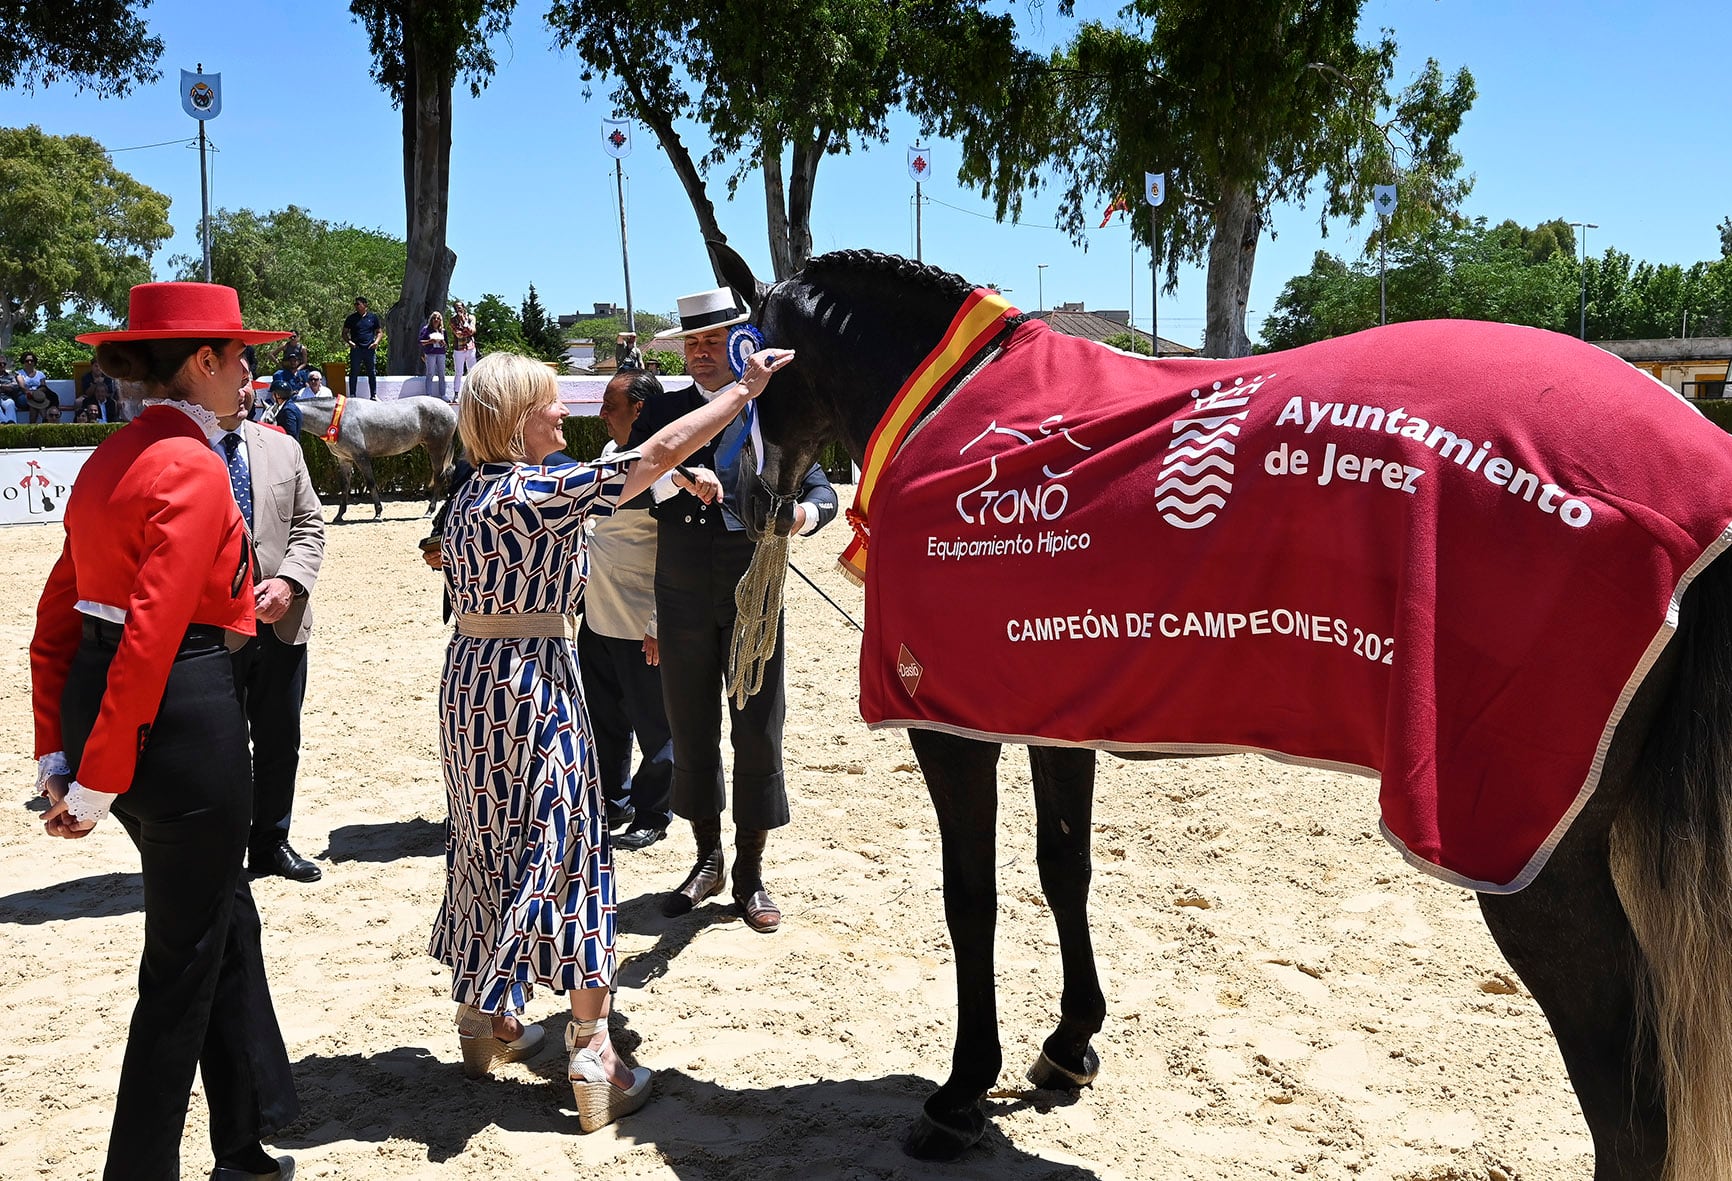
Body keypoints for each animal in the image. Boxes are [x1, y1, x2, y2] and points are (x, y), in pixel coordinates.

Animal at [290, 394, 457, 519]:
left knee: (439, 477)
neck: (339, 418)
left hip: (436, 449)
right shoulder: (344, 459)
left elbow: (370, 483)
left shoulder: (361, 457)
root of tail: (451, 411)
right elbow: (345, 486)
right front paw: (339, 515)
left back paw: (430, 510)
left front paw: (378, 512)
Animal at [717, 240, 1732, 1177]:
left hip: (1533, 862)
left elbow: (971, 896)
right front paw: (1069, 1045)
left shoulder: (948, 727)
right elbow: (1064, 869)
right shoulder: (1051, 710)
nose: (743, 499)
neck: (950, 397)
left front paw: (961, 1093)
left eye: (752, 367)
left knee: (1632, 1107)